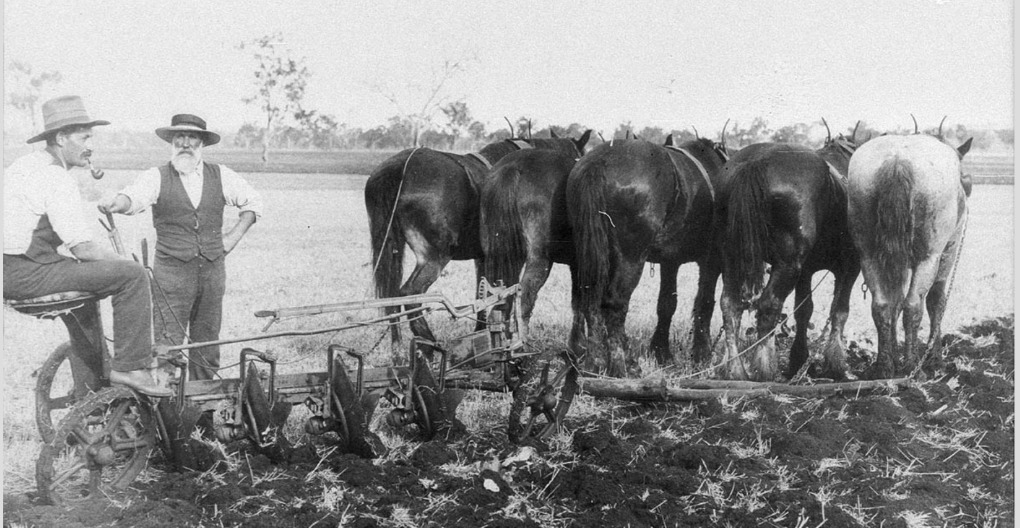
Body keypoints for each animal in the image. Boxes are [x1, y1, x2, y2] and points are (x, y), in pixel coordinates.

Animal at [365, 130, 591, 350]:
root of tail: (400, 167)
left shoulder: (484, 258)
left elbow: (484, 295)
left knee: (392, 297)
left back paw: (398, 350)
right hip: (434, 258)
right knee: (411, 293)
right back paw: (429, 343)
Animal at [567, 136, 734, 377]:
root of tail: (600, 162)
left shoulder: (670, 262)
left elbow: (667, 304)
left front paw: (661, 351)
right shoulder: (711, 261)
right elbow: (705, 303)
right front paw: (702, 355)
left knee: (589, 300)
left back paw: (594, 362)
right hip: (629, 259)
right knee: (614, 303)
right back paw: (622, 365)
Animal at [718, 129, 860, 383]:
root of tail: (755, 162)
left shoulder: (806, 271)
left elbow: (804, 311)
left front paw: (799, 360)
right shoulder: (850, 266)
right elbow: (840, 311)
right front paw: (838, 365)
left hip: (731, 256)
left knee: (730, 305)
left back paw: (736, 369)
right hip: (787, 264)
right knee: (768, 305)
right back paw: (765, 369)